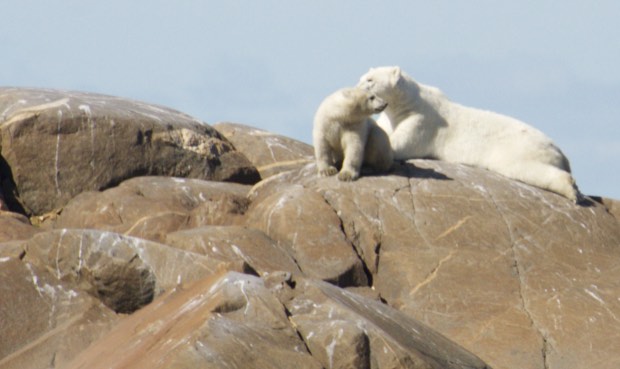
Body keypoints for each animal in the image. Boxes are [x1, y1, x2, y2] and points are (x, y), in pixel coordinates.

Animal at [356, 66, 584, 201]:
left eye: (370, 80)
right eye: (363, 78)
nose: (357, 87)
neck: (407, 101)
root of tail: (560, 151)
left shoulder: (422, 121)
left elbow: (398, 145)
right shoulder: (392, 118)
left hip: (521, 148)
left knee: (526, 168)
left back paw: (571, 190)